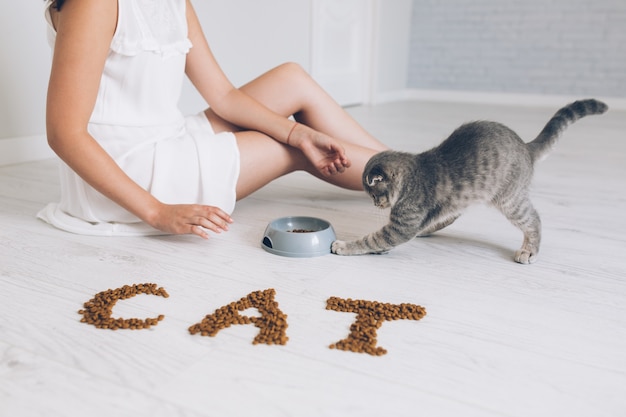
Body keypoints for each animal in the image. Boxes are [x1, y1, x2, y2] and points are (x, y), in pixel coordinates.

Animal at [330, 99, 608, 264]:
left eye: (373, 194)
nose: (376, 205)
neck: (411, 177)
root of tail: (525, 146)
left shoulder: (401, 225)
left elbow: (373, 238)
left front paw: (345, 246)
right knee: (449, 215)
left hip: (511, 201)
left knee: (534, 220)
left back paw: (530, 250)